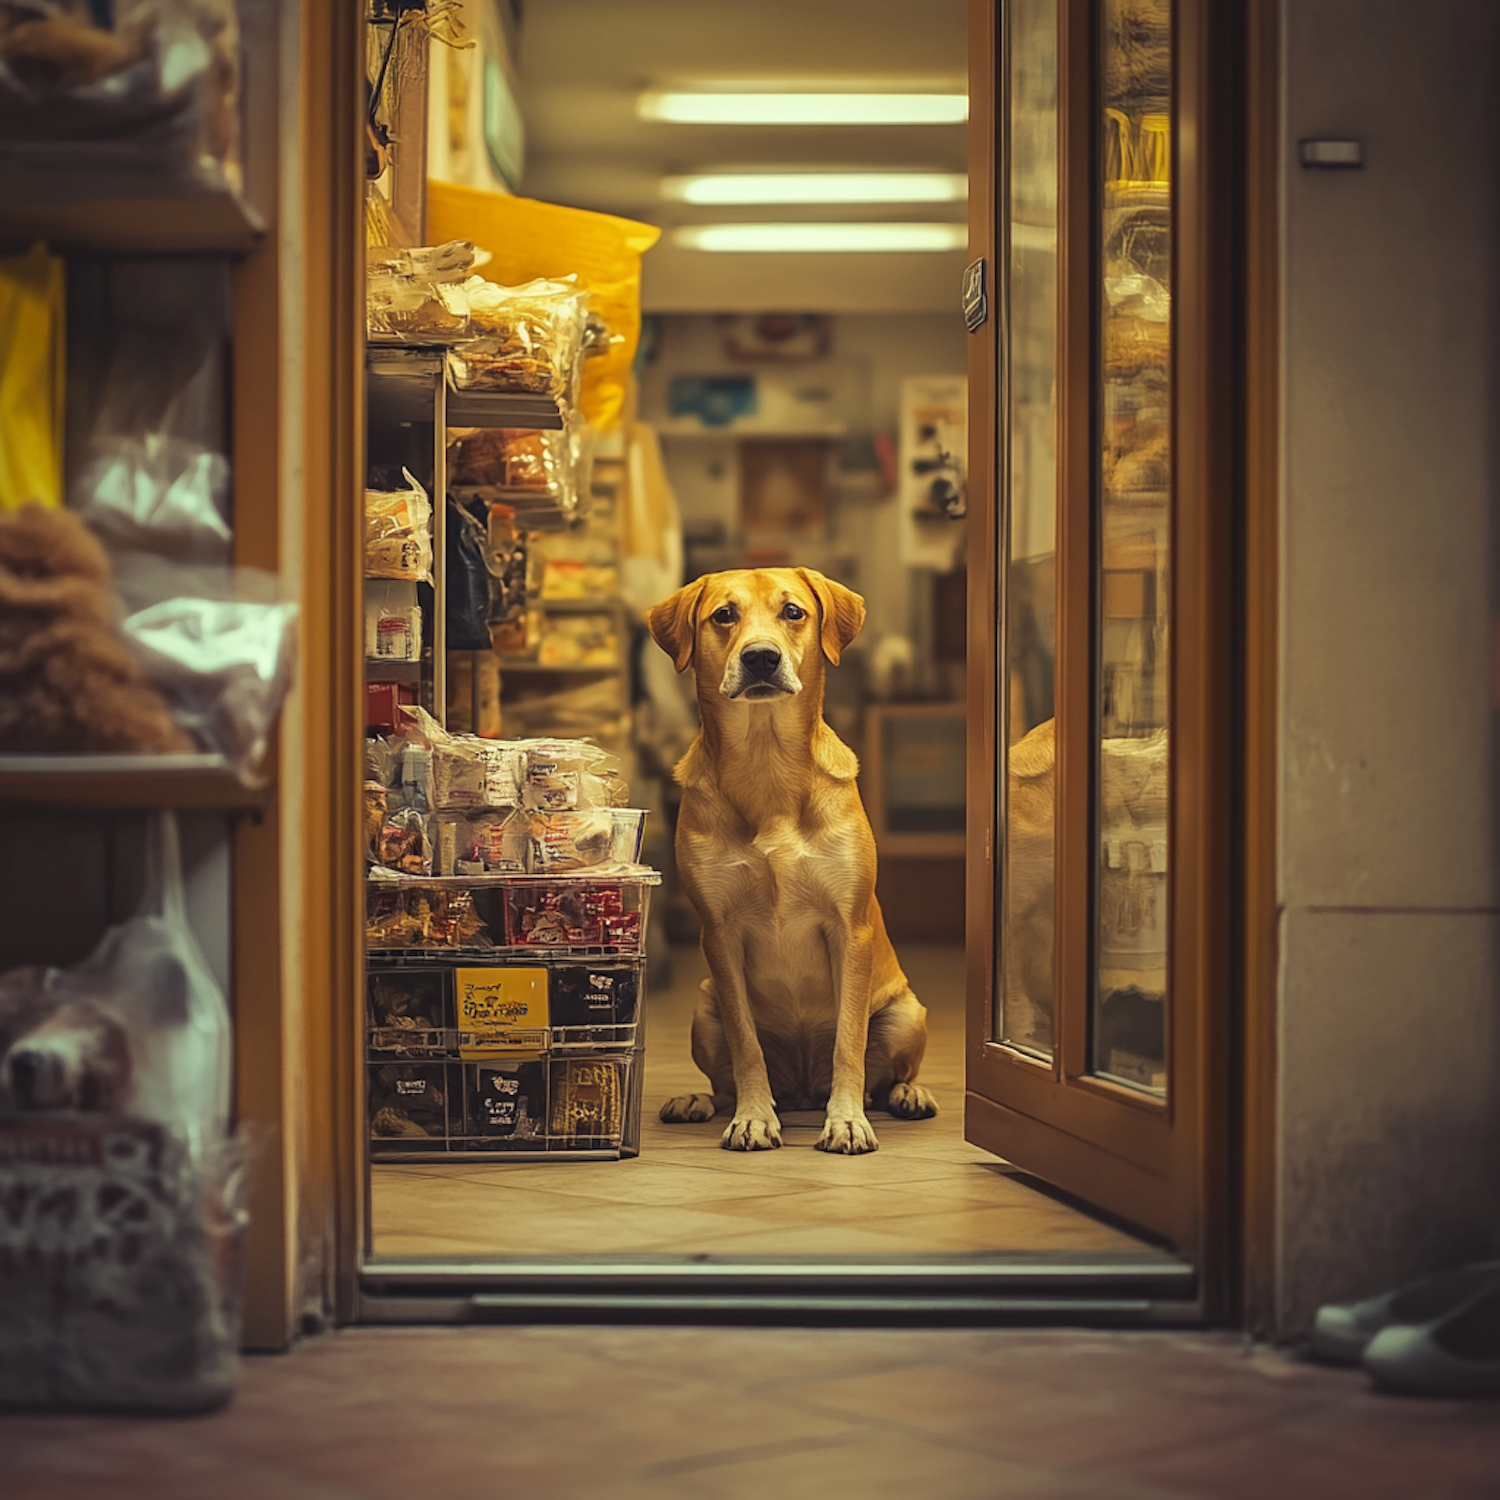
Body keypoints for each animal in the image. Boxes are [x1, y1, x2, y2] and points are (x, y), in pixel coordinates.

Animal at [648, 567, 936, 1152]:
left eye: (793, 612)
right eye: (724, 615)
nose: (761, 657)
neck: (767, 764)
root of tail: (803, 1089)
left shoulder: (849, 929)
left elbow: (849, 1040)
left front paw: (846, 1120)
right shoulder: (720, 934)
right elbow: (746, 1044)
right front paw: (754, 1118)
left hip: (906, 1013)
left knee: (888, 1077)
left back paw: (906, 1095)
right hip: (703, 1010)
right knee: (723, 1082)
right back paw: (696, 1101)